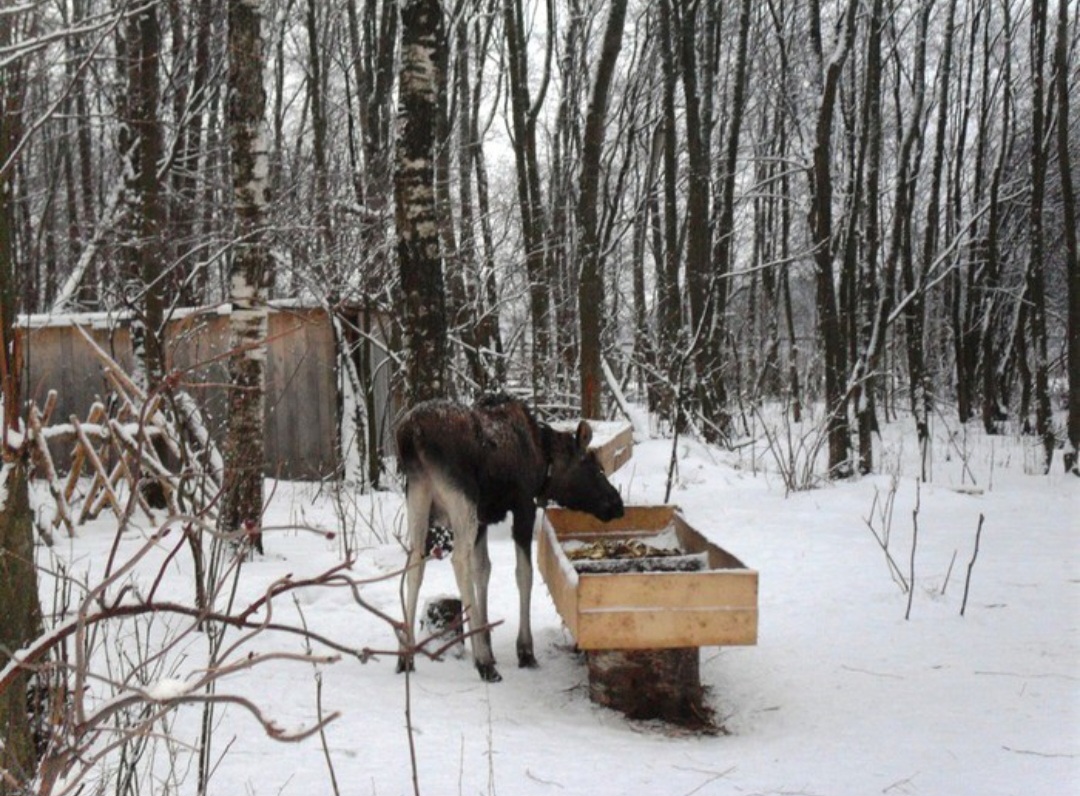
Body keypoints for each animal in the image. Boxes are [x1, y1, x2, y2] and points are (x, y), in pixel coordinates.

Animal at [395, 395, 626, 678]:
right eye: (596, 469)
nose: (617, 504)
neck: (543, 463)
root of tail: (412, 434)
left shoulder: (483, 517)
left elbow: (483, 570)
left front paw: (487, 641)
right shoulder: (523, 505)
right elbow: (524, 574)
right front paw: (523, 651)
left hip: (418, 495)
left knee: (415, 563)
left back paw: (406, 657)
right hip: (461, 497)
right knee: (458, 561)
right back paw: (483, 662)